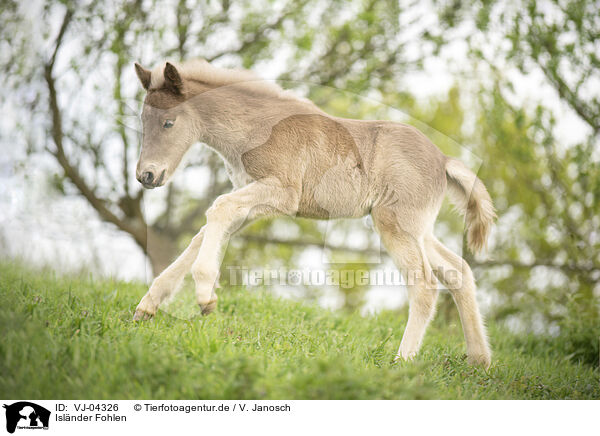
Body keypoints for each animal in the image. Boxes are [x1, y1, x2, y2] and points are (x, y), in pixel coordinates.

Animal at [134, 59, 494, 366]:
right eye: (142, 121)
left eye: (168, 122)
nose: (146, 176)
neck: (257, 128)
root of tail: (444, 160)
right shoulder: (251, 203)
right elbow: (204, 231)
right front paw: (147, 306)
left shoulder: (281, 192)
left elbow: (217, 209)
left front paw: (205, 297)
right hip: (419, 230)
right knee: (458, 271)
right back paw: (479, 361)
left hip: (395, 224)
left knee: (425, 285)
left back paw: (402, 361)